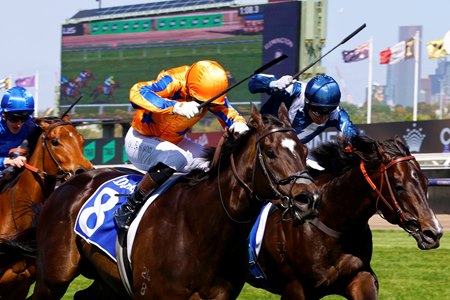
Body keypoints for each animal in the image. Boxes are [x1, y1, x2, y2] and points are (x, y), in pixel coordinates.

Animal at [30, 104, 320, 298]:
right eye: (270, 152)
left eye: (304, 150)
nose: (309, 198)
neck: (202, 230)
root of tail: (70, 181)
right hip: (53, 277)